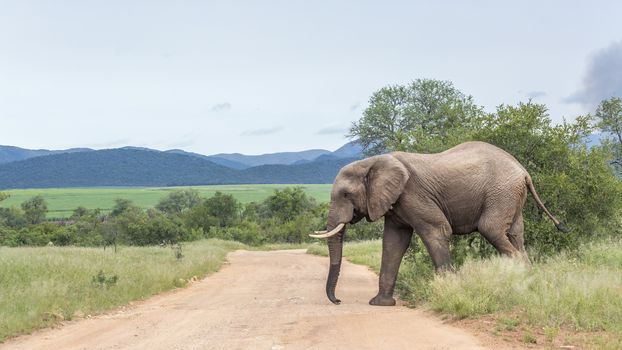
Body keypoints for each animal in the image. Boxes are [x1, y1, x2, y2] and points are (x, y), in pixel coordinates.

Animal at [310, 141, 568, 304]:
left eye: (345, 195)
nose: (338, 300)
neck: (373, 161)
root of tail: (524, 172)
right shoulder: (396, 204)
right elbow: (393, 243)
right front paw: (380, 304)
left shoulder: (412, 194)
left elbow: (437, 230)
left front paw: (449, 292)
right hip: (512, 196)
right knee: (516, 235)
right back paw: (528, 280)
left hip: (501, 192)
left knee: (492, 229)